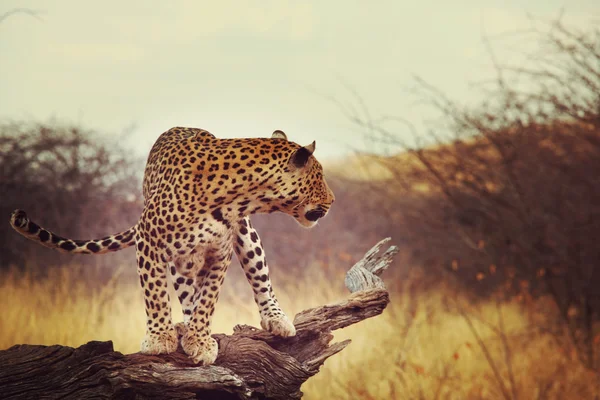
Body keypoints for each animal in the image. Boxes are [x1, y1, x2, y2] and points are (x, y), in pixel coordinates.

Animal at [9, 126, 336, 364]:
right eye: (319, 177)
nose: (332, 201)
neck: (238, 195)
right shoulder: (149, 241)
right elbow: (155, 294)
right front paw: (160, 338)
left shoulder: (220, 253)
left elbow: (208, 300)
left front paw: (199, 339)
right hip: (180, 261)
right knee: (185, 293)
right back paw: (182, 326)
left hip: (244, 237)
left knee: (258, 275)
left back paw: (275, 319)